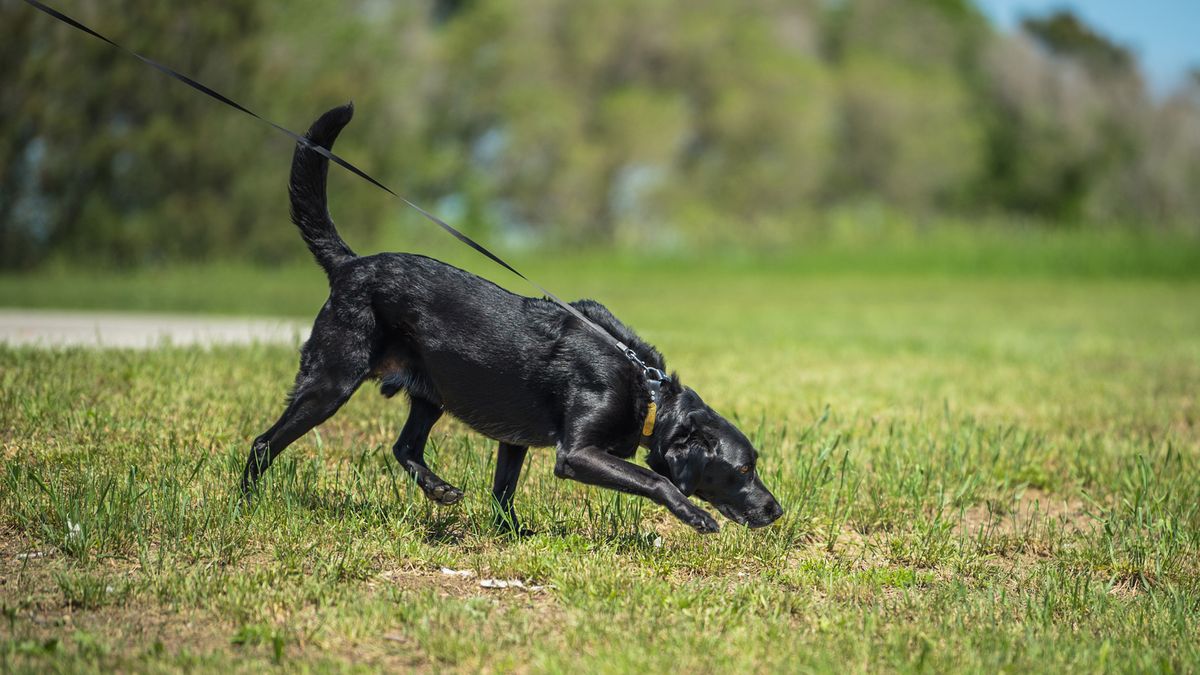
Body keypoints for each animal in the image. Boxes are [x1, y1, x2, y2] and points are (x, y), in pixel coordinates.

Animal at [241, 103, 787, 530]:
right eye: (743, 470)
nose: (776, 510)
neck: (647, 392)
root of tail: (350, 264)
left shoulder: (513, 439)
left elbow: (503, 490)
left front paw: (512, 534)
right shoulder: (578, 454)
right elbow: (654, 478)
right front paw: (694, 515)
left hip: (431, 389)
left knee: (404, 446)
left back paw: (439, 489)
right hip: (331, 381)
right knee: (263, 444)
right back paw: (245, 504)